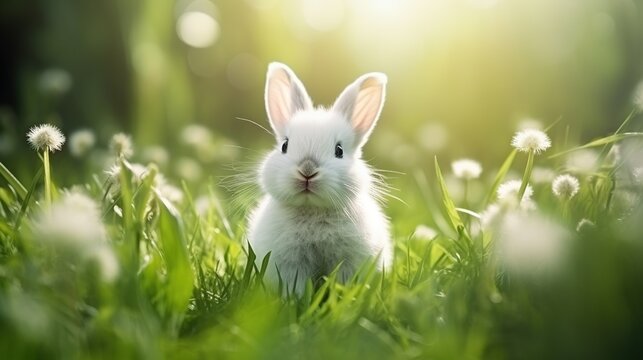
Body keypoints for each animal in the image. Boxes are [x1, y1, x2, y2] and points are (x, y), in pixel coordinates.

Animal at [249, 62, 394, 296]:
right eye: (285, 146)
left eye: (339, 150)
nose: (307, 170)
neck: (313, 210)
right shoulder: (290, 264)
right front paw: (295, 300)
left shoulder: (348, 262)